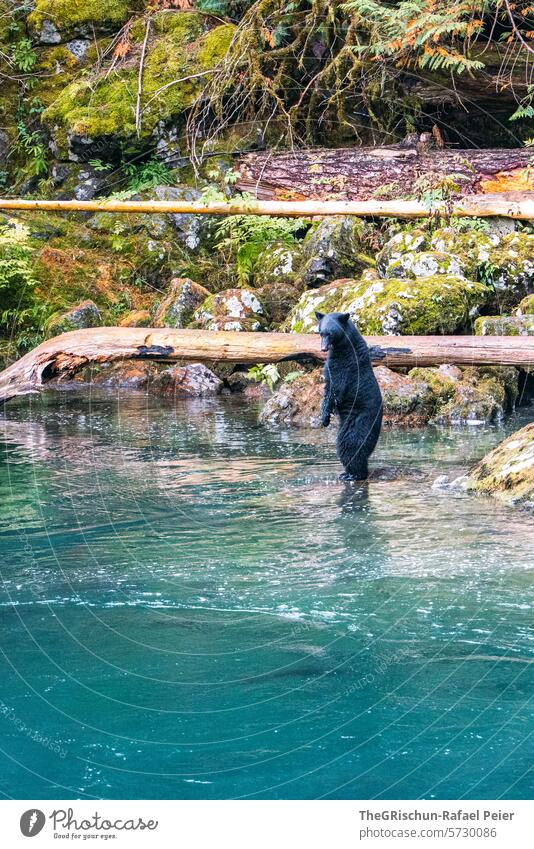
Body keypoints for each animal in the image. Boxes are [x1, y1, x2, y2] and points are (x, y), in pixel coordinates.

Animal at [316, 310, 384, 480]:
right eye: (320, 332)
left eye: (330, 333)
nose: (323, 349)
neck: (345, 346)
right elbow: (327, 387)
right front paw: (324, 417)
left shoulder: (345, 366)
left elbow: (335, 390)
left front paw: (325, 416)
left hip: (358, 422)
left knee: (350, 445)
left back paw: (353, 474)